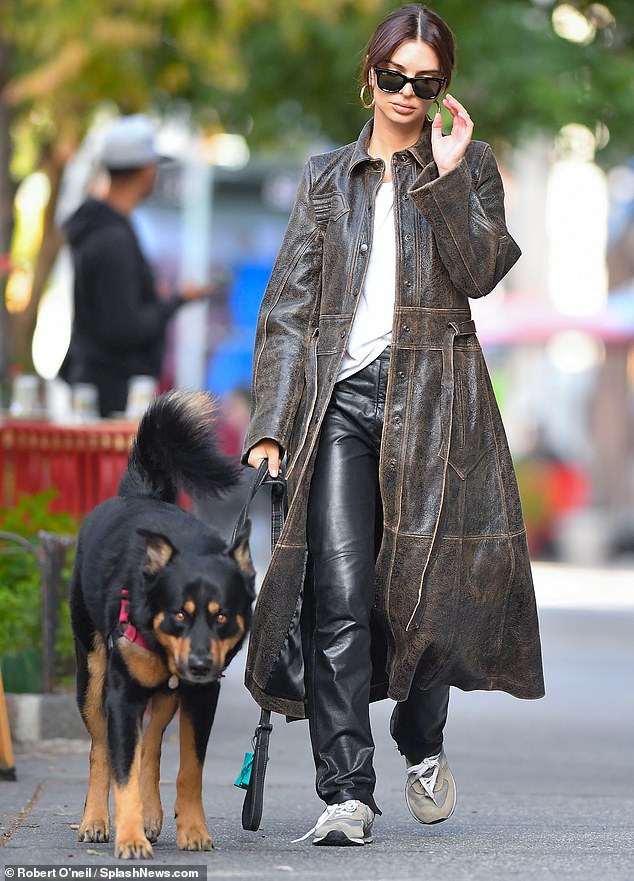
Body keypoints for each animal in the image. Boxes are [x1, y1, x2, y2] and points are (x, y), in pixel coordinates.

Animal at [70, 388, 253, 856]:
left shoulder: (201, 697)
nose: (202, 665)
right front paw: (130, 838)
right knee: (101, 748)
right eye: (179, 614)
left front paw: (193, 831)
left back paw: (151, 815)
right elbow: (122, 769)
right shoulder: (121, 694)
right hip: (92, 672)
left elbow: (188, 770)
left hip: (168, 692)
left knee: (151, 746)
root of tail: (140, 493)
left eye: (221, 616)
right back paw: (95, 821)